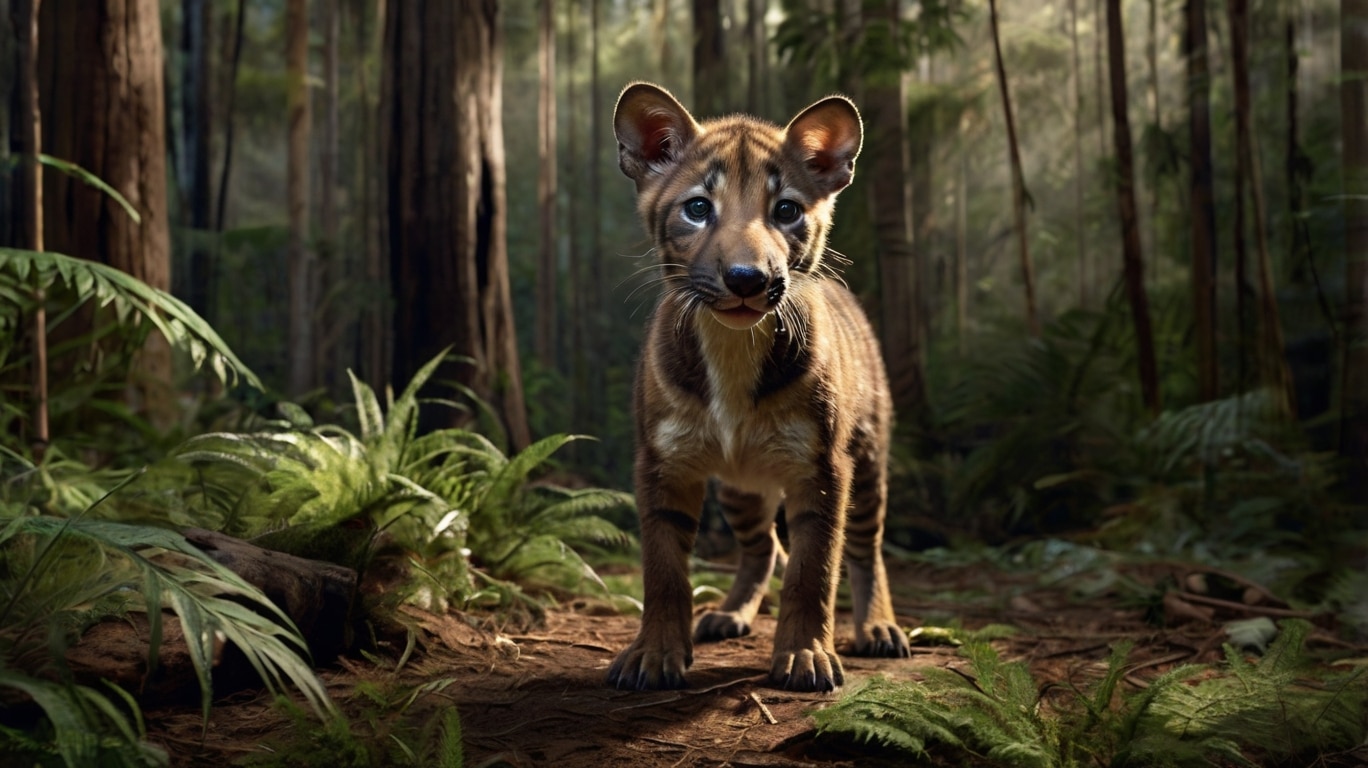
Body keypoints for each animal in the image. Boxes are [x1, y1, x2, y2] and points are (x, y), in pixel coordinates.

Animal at [605, 82, 909, 693]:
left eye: (786, 210)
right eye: (698, 208)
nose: (748, 279)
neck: (732, 347)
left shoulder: (822, 465)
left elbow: (814, 569)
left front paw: (805, 656)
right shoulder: (663, 460)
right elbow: (663, 566)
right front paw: (654, 654)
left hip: (867, 463)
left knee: (867, 547)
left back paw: (879, 628)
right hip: (740, 487)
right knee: (763, 546)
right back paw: (729, 614)